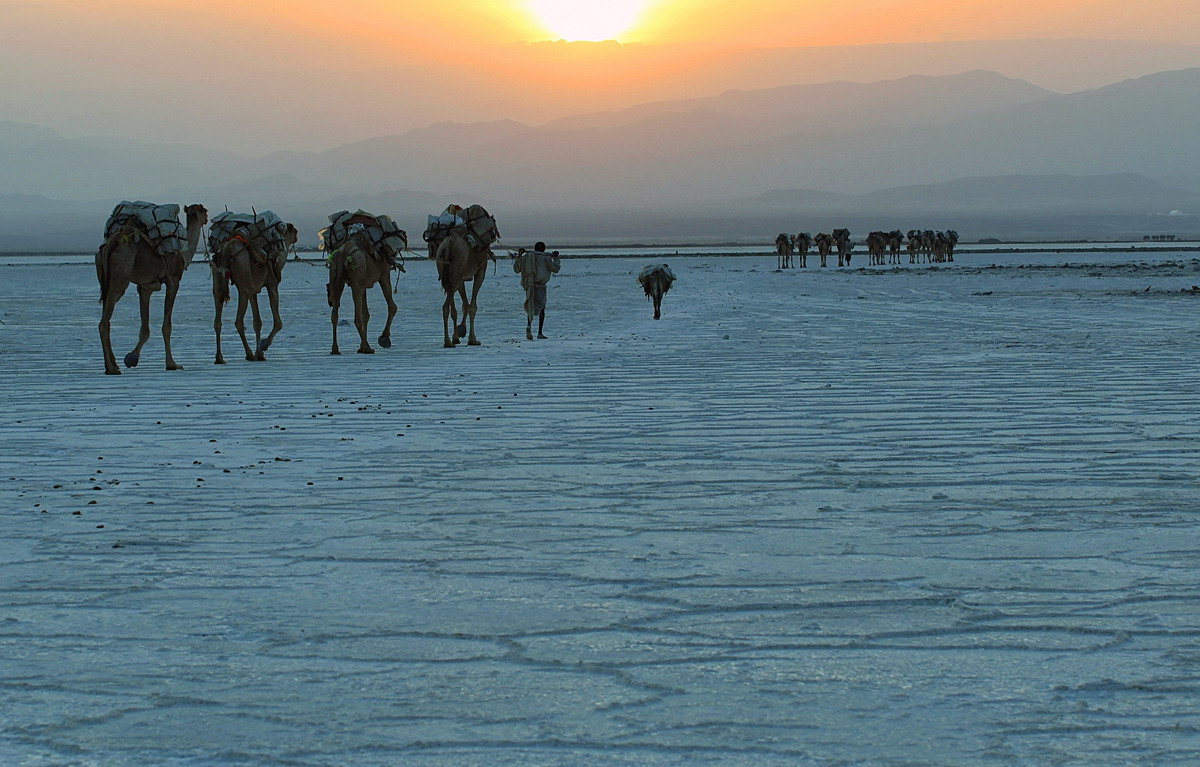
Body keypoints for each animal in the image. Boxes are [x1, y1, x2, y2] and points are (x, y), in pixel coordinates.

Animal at [96, 202, 208, 374]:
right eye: (204, 211)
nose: (207, 219)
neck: (183, 254)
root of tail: (112, 244)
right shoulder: (173, 281)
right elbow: (166, 326)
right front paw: (172, 364)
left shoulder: (145, 288)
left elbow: (145, 329)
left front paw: (131, 358)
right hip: (120, 276)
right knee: (104, 322)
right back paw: (112, 368)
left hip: (104, 277)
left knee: (106, 318)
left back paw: (113, 364)